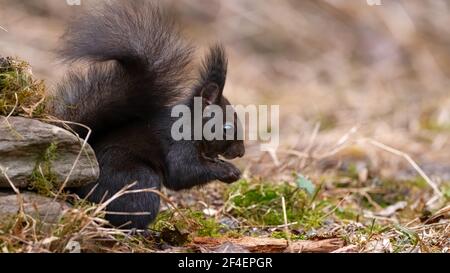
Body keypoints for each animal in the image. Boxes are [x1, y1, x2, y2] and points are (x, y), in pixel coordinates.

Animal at [49, 1, 244, 228]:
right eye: (227, 127)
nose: (241, 152)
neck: (191, 124)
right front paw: (229, 171)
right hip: (139, 180)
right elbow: (182, 173)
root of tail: (77, 189)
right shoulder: (179, 145)